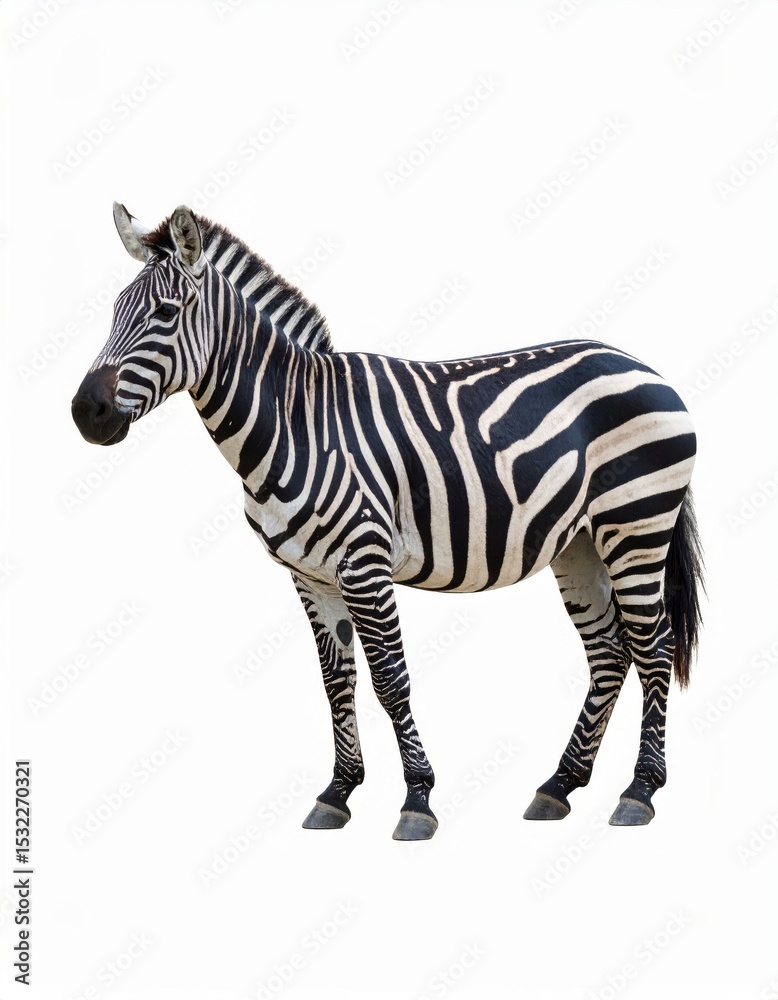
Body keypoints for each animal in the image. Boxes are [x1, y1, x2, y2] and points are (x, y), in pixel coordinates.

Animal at [72, 203, 704, 841]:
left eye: (164, 312)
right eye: (113, 312)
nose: (84, 413)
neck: (297, 423)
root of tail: (639, 363)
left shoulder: (364, 564)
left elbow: (389, 680)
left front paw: (417, 800)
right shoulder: (309, 575)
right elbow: (337, 683)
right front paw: (338, 792)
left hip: (636, 526)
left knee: (653, 646)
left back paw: (639, 791)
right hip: (580, 543)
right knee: (610, 651)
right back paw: (559, 786)